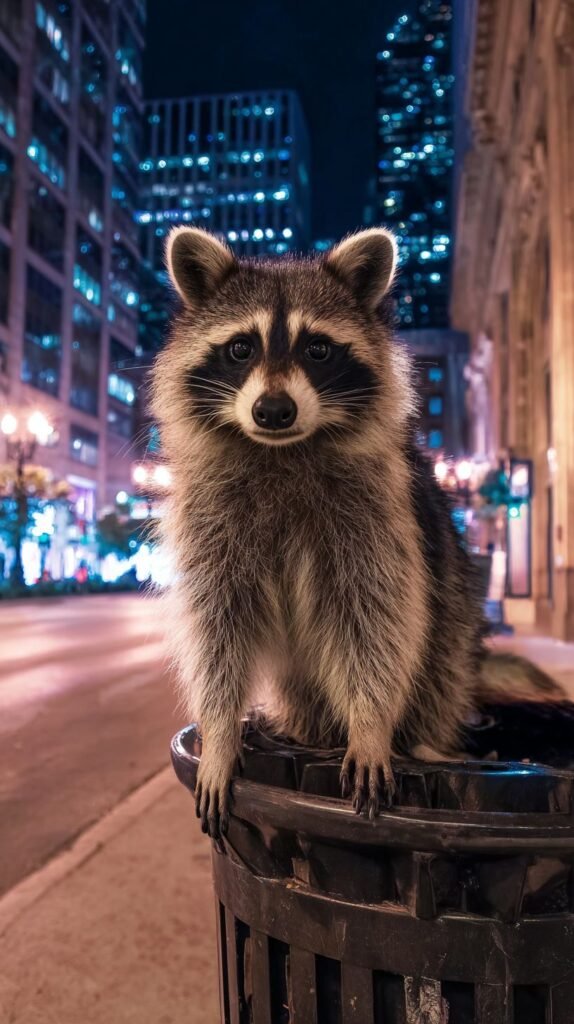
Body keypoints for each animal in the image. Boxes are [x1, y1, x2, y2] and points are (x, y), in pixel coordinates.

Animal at [151, 226, 564, 838]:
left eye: (317, 349)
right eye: (241, 348)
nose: (273, 410)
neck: (284, 450)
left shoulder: (377, 517)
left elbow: (374, 621)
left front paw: (370, 728)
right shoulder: (212, 522)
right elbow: (217, 627)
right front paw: (221, 732)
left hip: (452, 635)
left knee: (433, 666)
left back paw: (423, 744)